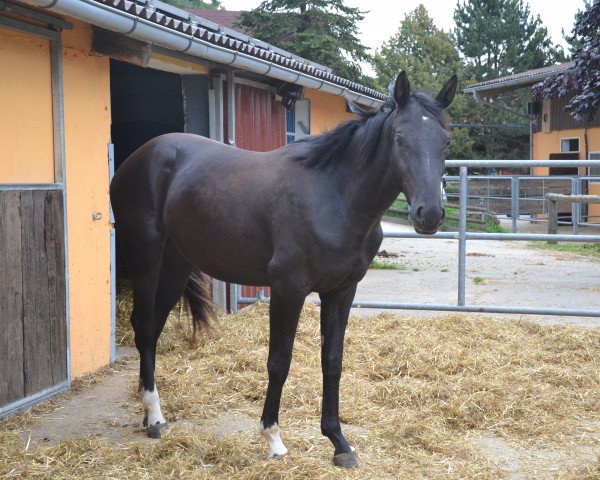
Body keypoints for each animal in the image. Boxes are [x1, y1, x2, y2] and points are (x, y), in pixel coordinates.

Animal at [109, 72, 454, 468]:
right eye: (399, 138)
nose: (429, 214)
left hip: (177, 264)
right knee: (143, 326)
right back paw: (153, 414)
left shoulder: (341, 291)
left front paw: (339, 441)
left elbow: (332, 361)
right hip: (146, 256)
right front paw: (273, 438)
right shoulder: (288, 289)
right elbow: (279, 361)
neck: (334, 196)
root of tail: (140, 156)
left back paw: (150, 412)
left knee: (154, 328)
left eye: (446, 140)